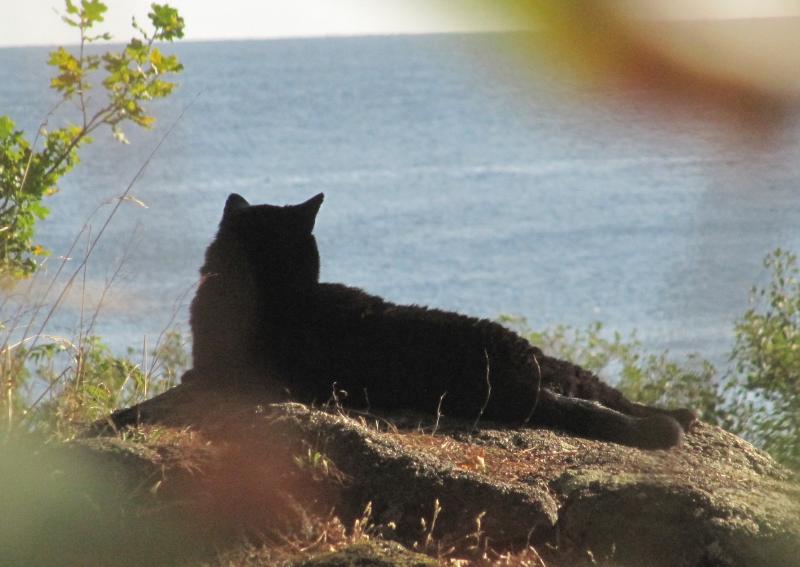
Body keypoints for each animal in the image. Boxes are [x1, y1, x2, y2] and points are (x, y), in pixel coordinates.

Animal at [186, 193, 692, 450]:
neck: (278, 290)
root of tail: (520, 378)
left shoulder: (214, 370)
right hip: (563, 371)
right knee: (616, 399)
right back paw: (680, 416)